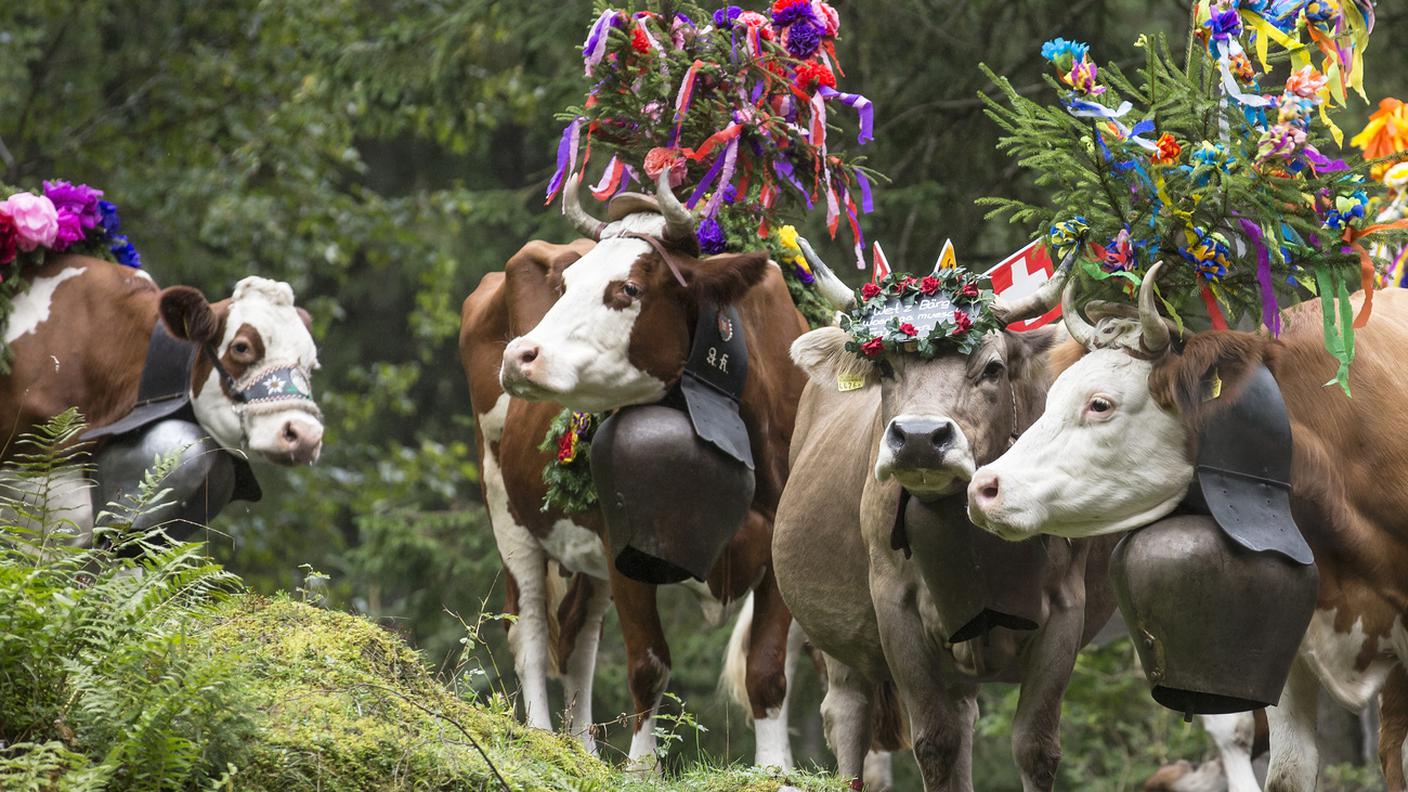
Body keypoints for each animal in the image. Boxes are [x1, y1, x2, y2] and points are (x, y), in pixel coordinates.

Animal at [459, 171, 816, 766]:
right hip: (506, 506)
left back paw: (582, 751)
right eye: (567, 284)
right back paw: (541, 739)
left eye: (628, 289)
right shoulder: (626, 545)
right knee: (529, 628)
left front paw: (774, 770)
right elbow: (649, 663)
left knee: (577, 636)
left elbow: (765, 671)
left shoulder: (777, 550)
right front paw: (642, 769)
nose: (521, 355)